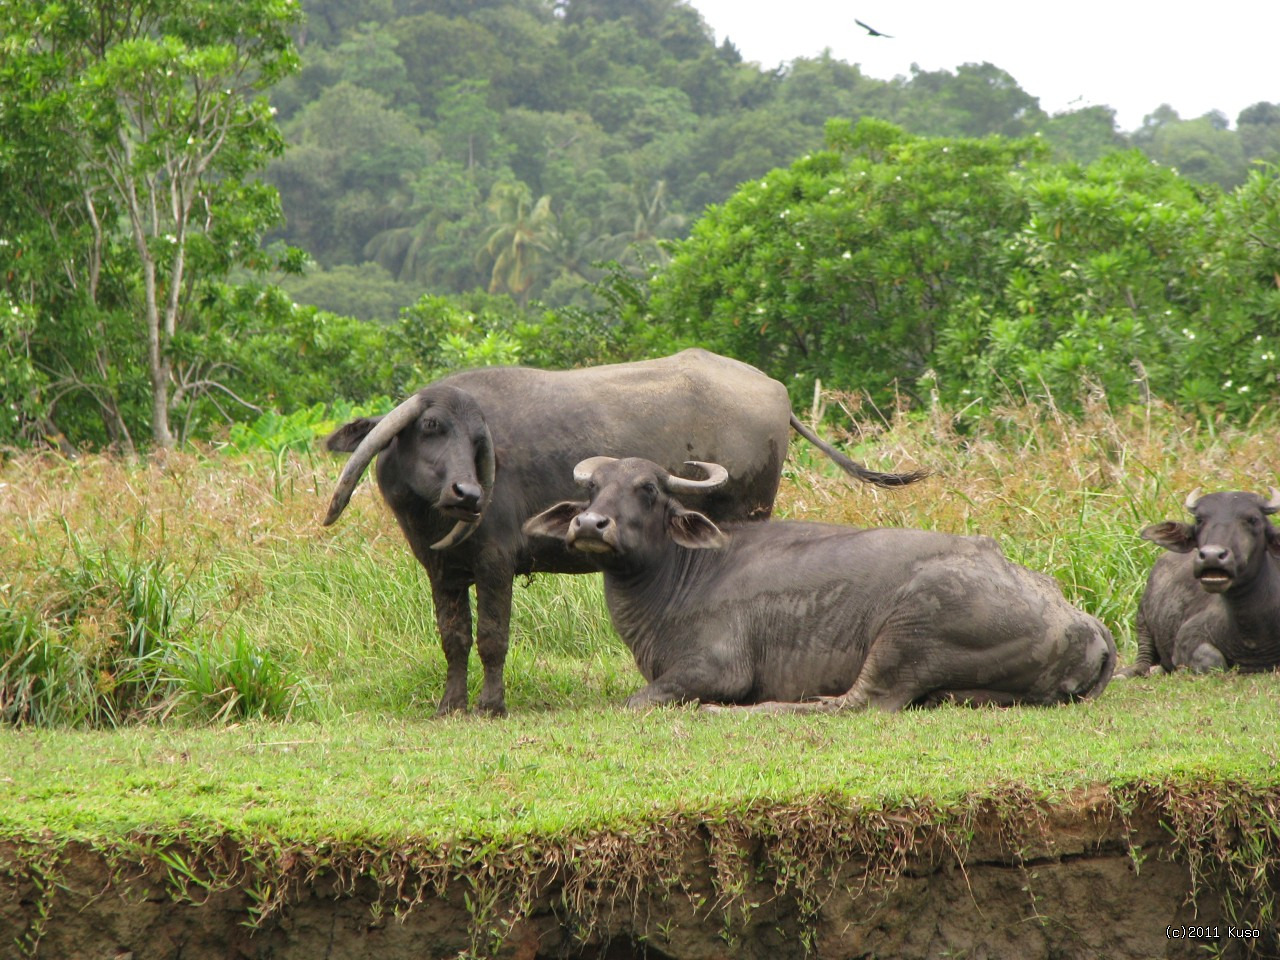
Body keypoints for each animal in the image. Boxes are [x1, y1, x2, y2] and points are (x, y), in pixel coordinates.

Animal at [318, 350, 921, 716]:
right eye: (430, 427)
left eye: (476, 442)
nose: (468, 494)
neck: (434, 519)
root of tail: (776, 391)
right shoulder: (441, 569)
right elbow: (453, 638)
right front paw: (451, 705)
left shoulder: (494, 563)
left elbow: (491, 637)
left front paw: (491, 706)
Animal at [524, 455, 1116, 711]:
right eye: (593, 489)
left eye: (647, 489)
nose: (590, 525)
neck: (677, 578)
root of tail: (1081, 619)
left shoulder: (717, 667)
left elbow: (635, 701)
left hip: (909, 630)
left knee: (856, 703)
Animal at [1121, 488, 1280, 675]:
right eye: (1199, 519)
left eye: (1253, 519)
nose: (1212, 556)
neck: (1250, 634)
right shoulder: (1186, 638)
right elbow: (1213, 659)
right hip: (1142, 623)